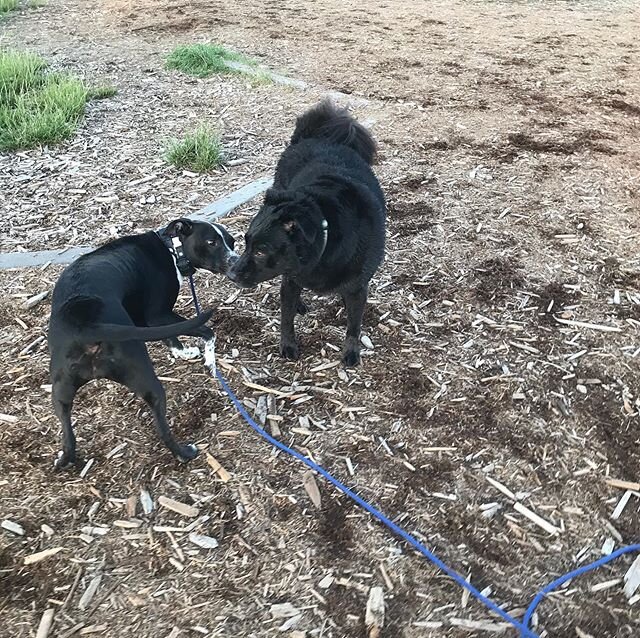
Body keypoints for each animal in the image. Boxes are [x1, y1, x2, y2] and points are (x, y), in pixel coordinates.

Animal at [48, 220, 236, 470]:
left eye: (232, 242)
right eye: (211, 242)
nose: (236, 261)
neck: (171, 247)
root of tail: (86, 325)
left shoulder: (145, 320)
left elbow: (170, 338)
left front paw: (182, 352)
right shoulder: (158, 316)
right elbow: (206, 332)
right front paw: (209, 361)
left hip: (60, 392)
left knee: (68, 437)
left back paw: (65, 460)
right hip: (145, 378)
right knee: (162, 426)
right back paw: (184, 453)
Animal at [229, 102, 384, 368]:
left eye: (260, 251)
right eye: (245, 243)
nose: (231, 274)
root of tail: (317, 136)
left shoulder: (358, 287)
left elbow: (354, 325)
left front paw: (351, 351)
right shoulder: (291, 278)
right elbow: (286, 317)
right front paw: (288, 345)